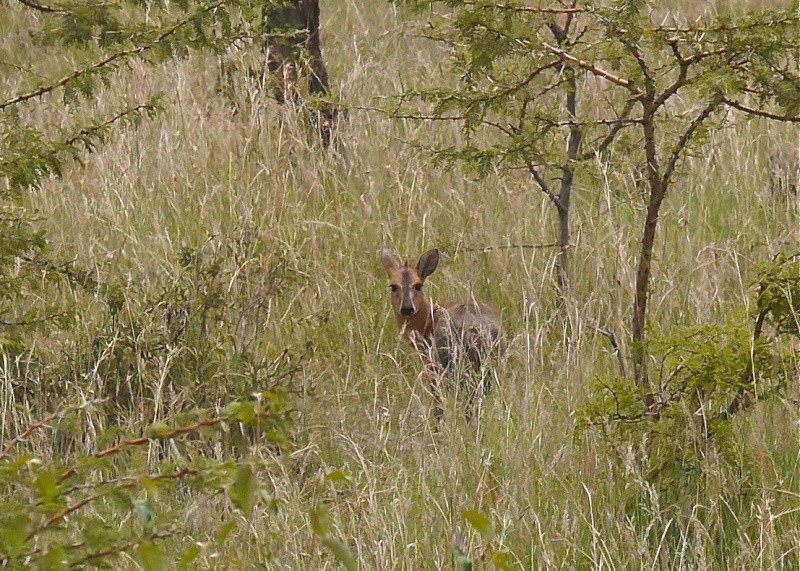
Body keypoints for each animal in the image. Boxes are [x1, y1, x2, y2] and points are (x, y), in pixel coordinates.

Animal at [380, 247, 504, 420]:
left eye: (418, 285)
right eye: (393, 286)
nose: (407, 308)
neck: (427, 322)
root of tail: (476, 329)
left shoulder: (432, 366)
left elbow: (437, 405)